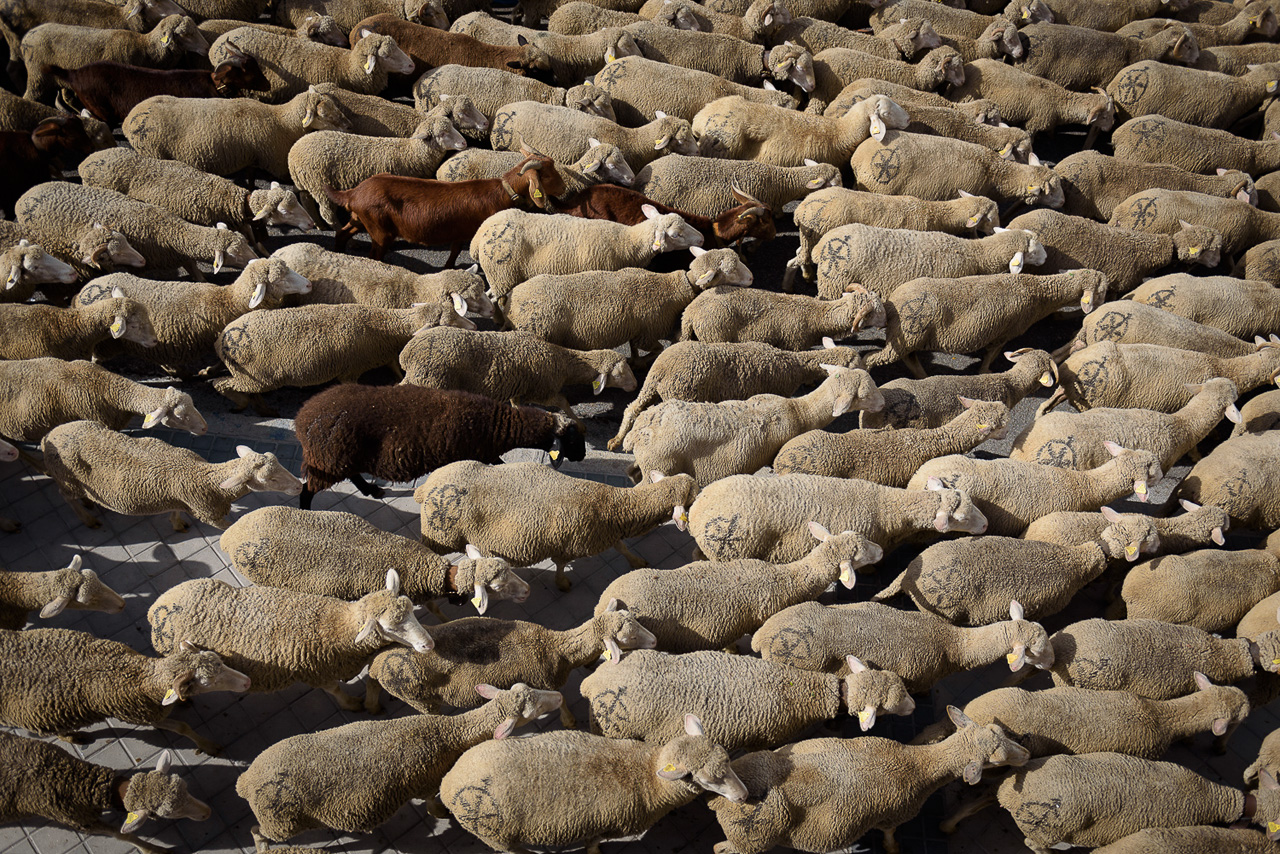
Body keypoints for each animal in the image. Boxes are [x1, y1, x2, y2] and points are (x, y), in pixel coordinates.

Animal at [293, 386, 586, 507]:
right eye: (572, 439)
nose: (583, 455)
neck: (495, 424)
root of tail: (302, 418)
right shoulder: (480, 454)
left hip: (339, 459)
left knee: (353, 475)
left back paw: (372, 490)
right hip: (328, 460)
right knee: (306, 493)